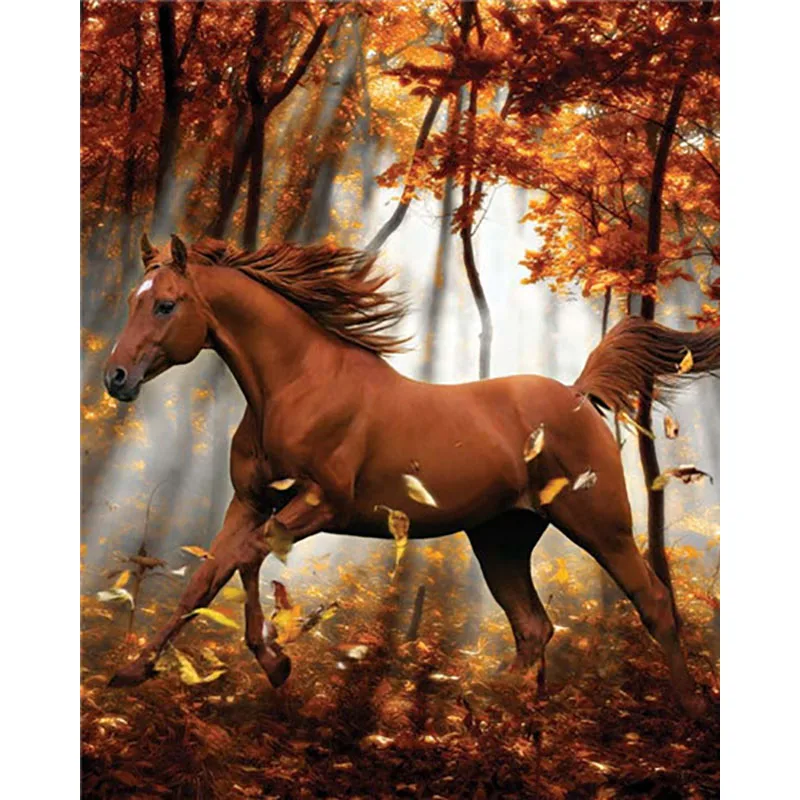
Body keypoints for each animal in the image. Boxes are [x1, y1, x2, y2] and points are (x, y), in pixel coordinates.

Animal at [102, 233, 719, 717]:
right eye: (134, 301)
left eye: (165, 305)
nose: (116, 377)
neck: (296, 385)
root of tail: (575, 395)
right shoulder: (250, 502)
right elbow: (206, 578)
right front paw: (133, 671)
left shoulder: (320, 503)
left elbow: (246, 559)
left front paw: (276, 662)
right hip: (500, 540)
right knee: (533, 627)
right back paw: (501, 712)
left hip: (600, 525)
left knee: (652, 600)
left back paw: (689, 709)